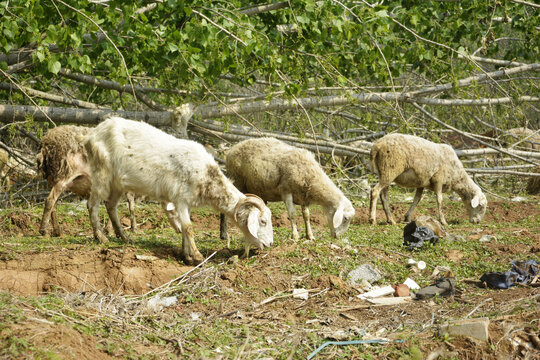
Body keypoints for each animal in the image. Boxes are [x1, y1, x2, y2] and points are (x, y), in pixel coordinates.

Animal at [83, 117, 274, 264]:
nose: (270, 244)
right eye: (262, 221)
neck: (206, 175)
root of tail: (93, 133)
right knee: (92, 204)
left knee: (111, 206)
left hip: (117, 183)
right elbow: (188, 228)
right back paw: (100, 237)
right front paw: (197, 256)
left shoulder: (185, 202)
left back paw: (124, 237)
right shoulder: (180, 199)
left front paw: (186, 255)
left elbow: (183, 228)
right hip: (102, 172)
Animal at [220, 136, 352, 240]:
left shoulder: (303, 196)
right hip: (236, 179)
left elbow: (307, 215)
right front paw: (295, 236)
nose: (338, 237)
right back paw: (224, 235)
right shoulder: (286, 191)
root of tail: (232, 149)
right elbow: (292, 214)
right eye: (345, 218)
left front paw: (310, 235)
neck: (312, 176)